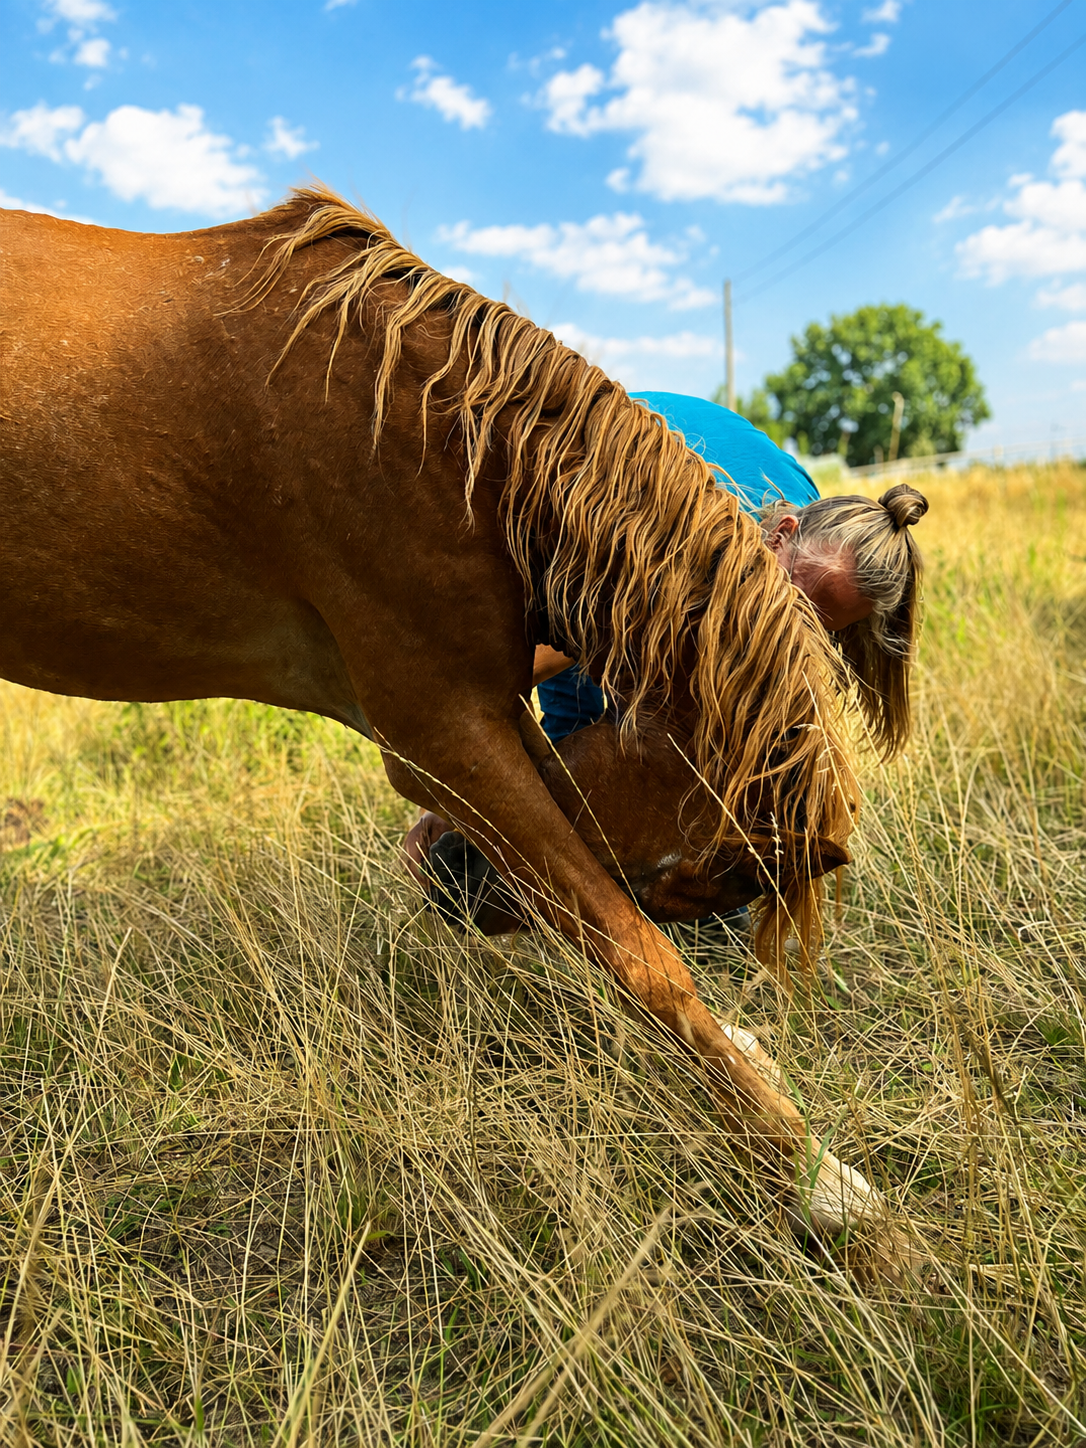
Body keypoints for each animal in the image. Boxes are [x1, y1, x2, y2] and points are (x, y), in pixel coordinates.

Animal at [0, 185, 894, 1255]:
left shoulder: (494, 712)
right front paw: (821, 1181)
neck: (442, 438)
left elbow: (593, 893)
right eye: (694, 877)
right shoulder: (435, 735)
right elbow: (636, 953)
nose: (448, 880)